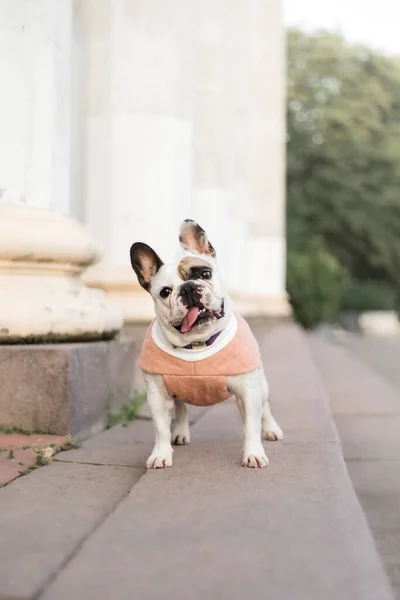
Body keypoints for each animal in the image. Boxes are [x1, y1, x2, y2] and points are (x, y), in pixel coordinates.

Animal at [130, 220, 282, 468]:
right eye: (165, 292)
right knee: (181, 408)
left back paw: (271, 429)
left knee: (265, 407)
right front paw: (161, 454)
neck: (198, 343)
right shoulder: (157, 395)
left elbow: (251, 425)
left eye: (204, 273)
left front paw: (253, 454)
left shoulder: (249, 391)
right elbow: (161, 429)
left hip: (261, 384)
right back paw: (180, 433)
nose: (188, 288)